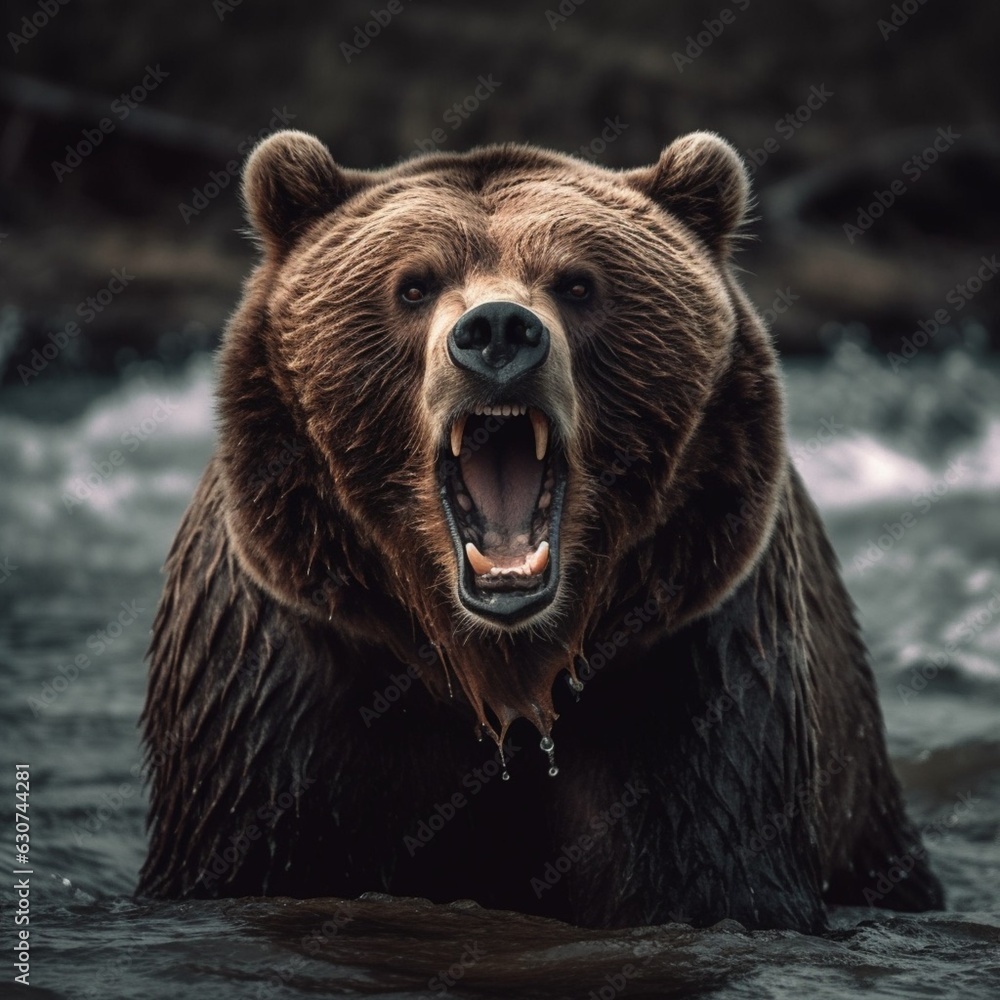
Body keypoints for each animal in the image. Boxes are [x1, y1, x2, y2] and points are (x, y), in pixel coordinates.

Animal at [138, 129, 944, 933]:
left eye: (578, 283)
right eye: (413, 285)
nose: (497, 330)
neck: (507, 674)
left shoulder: (698, 666)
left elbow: (709, 865)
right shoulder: (281, 678)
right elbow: (266, 836)